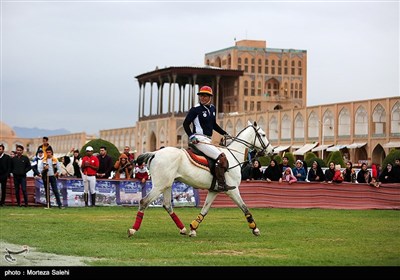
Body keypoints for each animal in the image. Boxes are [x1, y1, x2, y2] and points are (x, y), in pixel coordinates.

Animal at [128, 121, 276, 237]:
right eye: (263, 134)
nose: (272, 151)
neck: (233, 155)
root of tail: (154, 153)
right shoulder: (232, 190)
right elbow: (245, 208)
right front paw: (255, 229)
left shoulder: (214, 190)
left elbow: (204, 210)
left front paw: (193, 228)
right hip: (159, 185)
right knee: (144, 201)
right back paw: (133, 230)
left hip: (167, 184)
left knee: (167, 205)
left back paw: (183, 229)